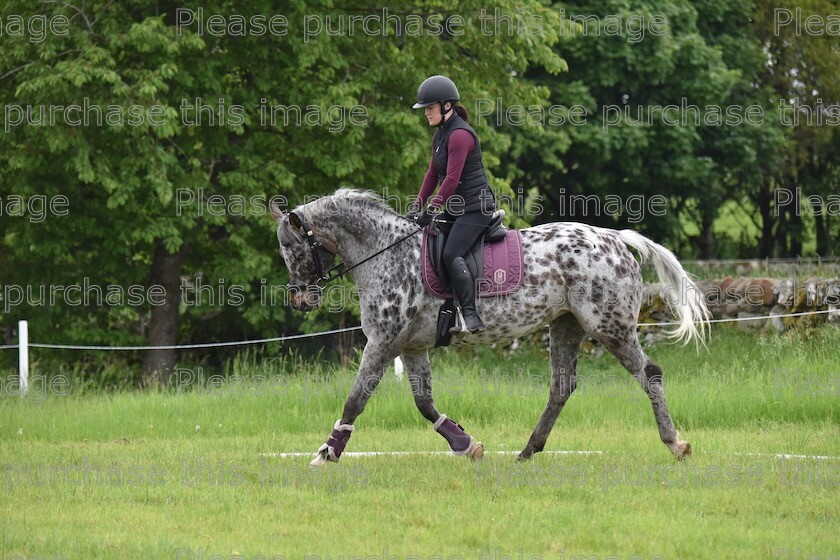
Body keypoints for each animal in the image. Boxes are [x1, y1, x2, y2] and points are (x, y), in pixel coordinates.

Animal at [270, 188, 708, 464]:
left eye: (296, 251)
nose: (301, 299)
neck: (387, 253)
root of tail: (616, 238)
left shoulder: (383, 341)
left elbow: (355, 400)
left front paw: (327, 452)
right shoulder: (411, 347)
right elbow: (424, 403)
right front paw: (466, 444)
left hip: (609, 326)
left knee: (649, 374)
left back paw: (675, 443)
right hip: (566, 325)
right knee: (561, 387)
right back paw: (528, 451)